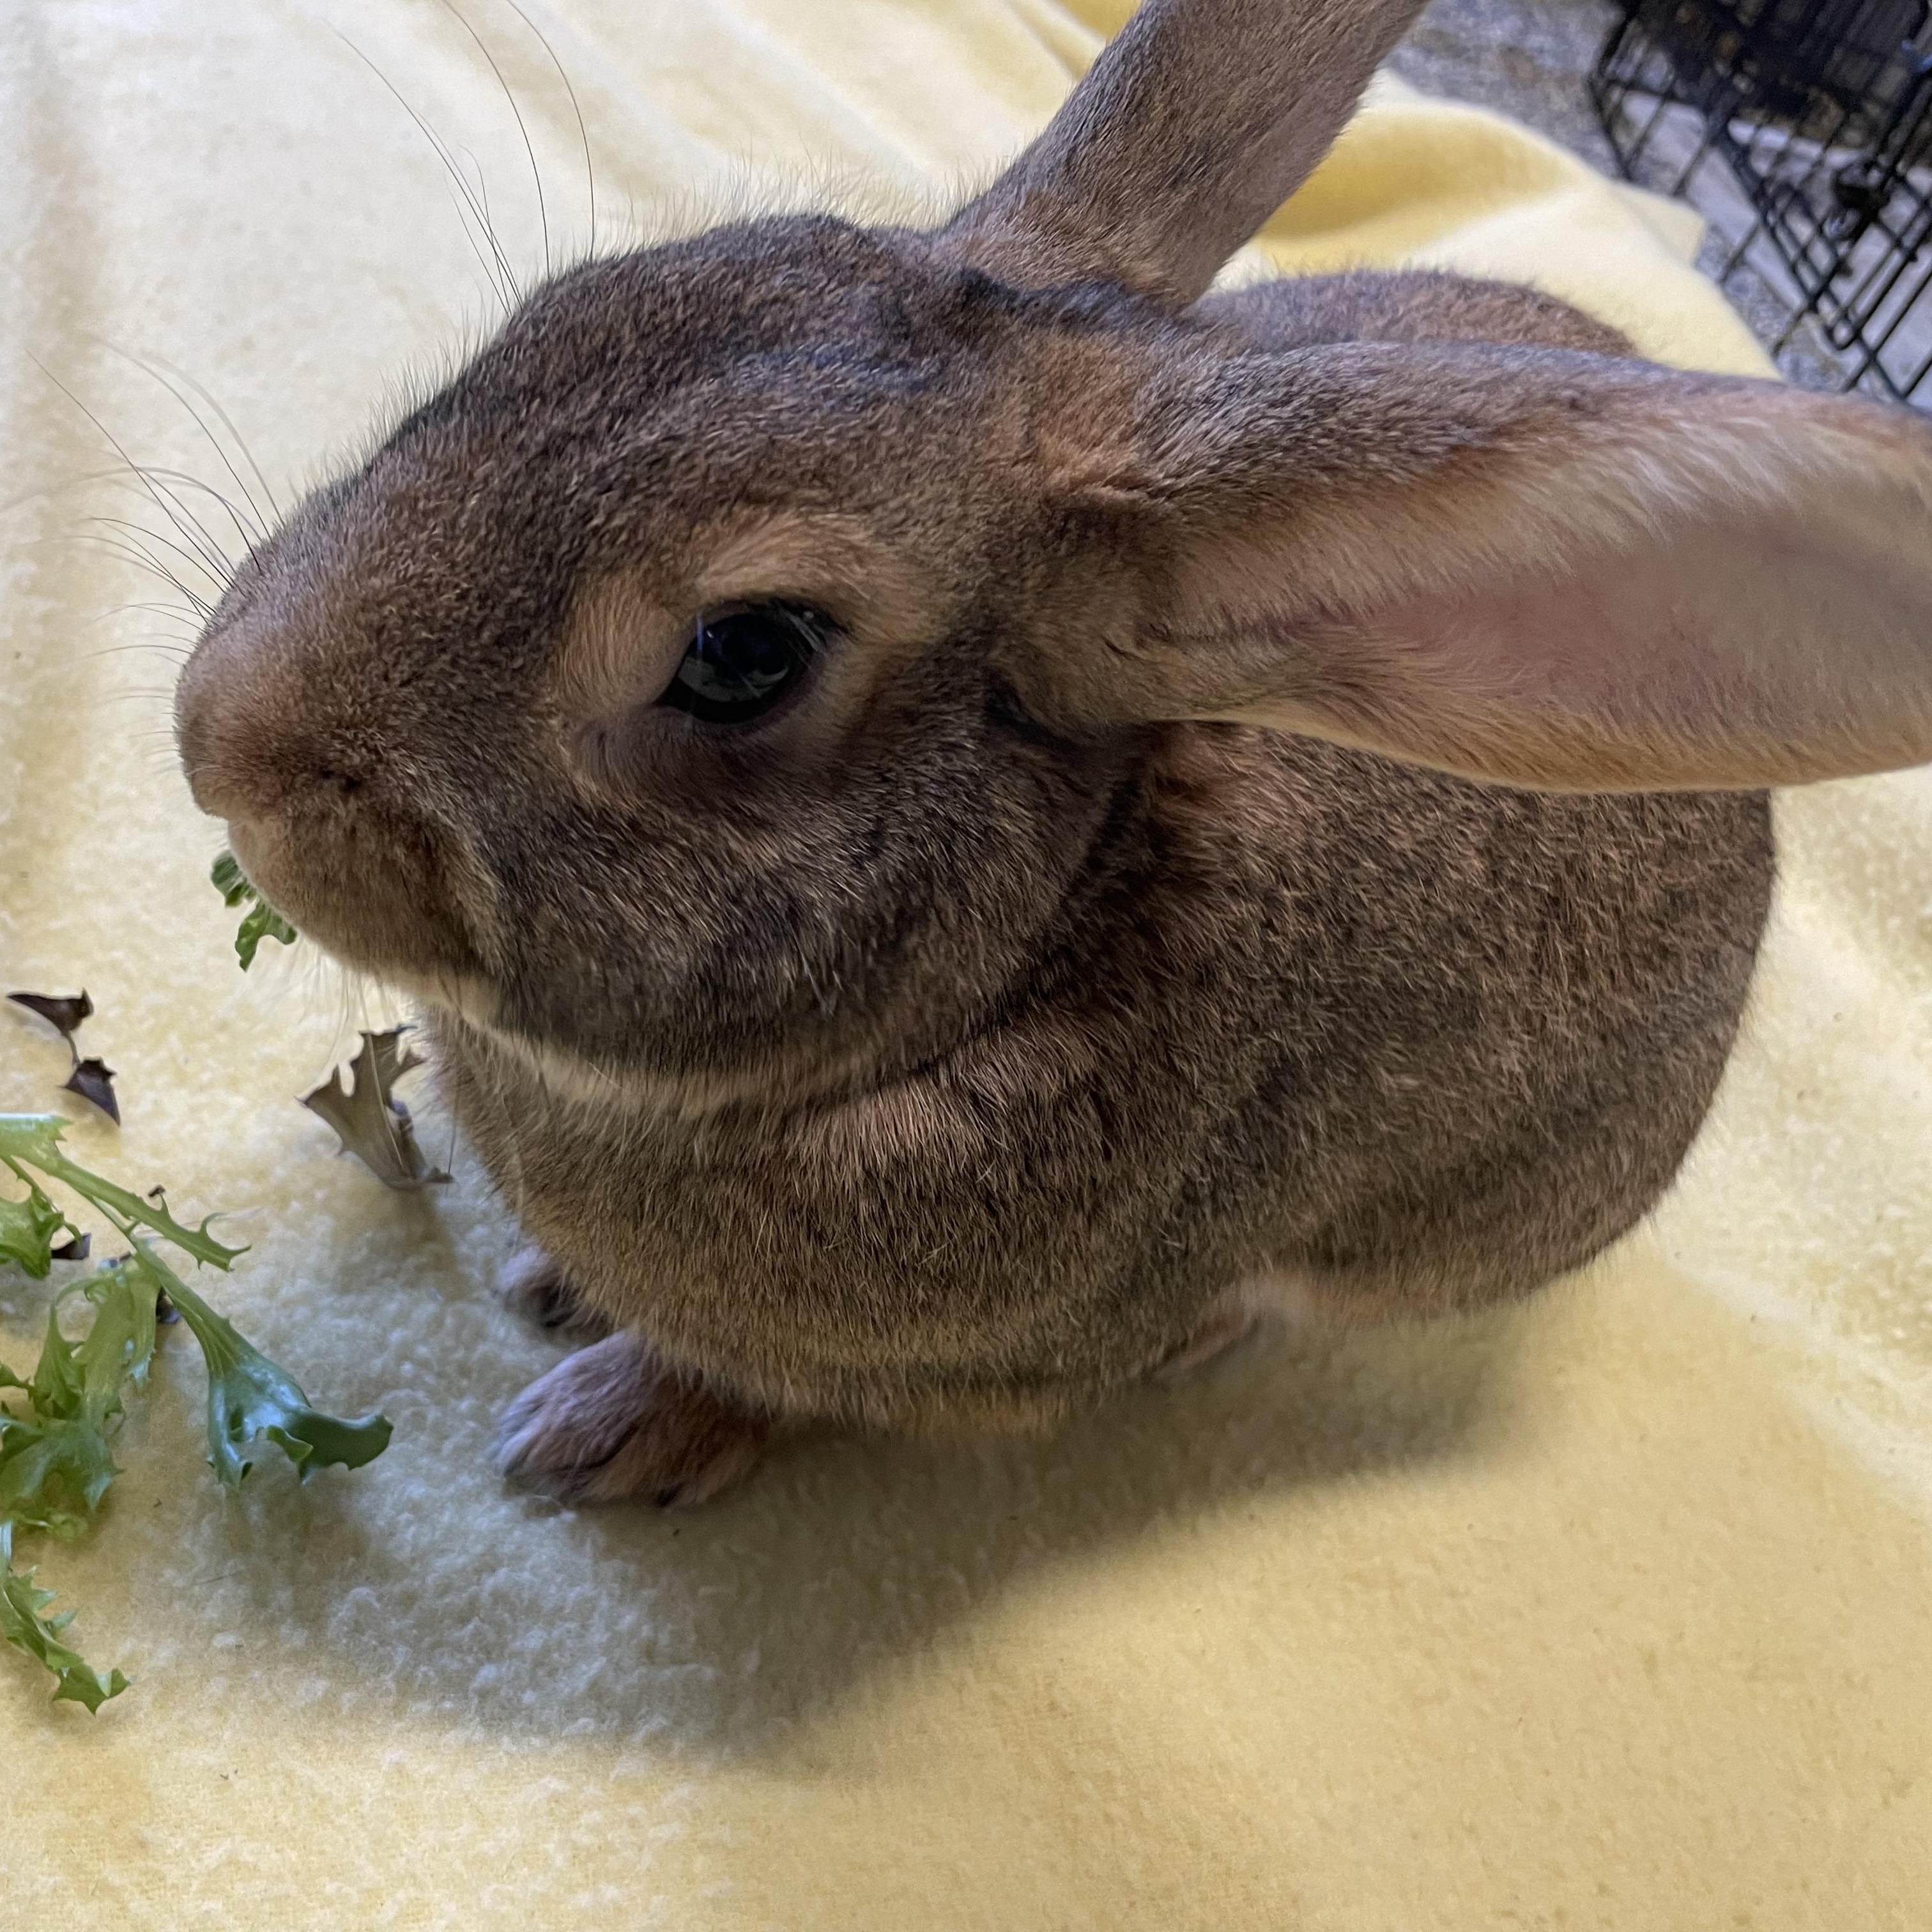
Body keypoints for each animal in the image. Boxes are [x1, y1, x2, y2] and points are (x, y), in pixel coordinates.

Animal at [174, 0, 1932, 1508]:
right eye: (568, 313)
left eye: (747, 656)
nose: (219, 742)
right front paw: (555, 1286)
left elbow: (766, 1388)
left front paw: (604, 1433)